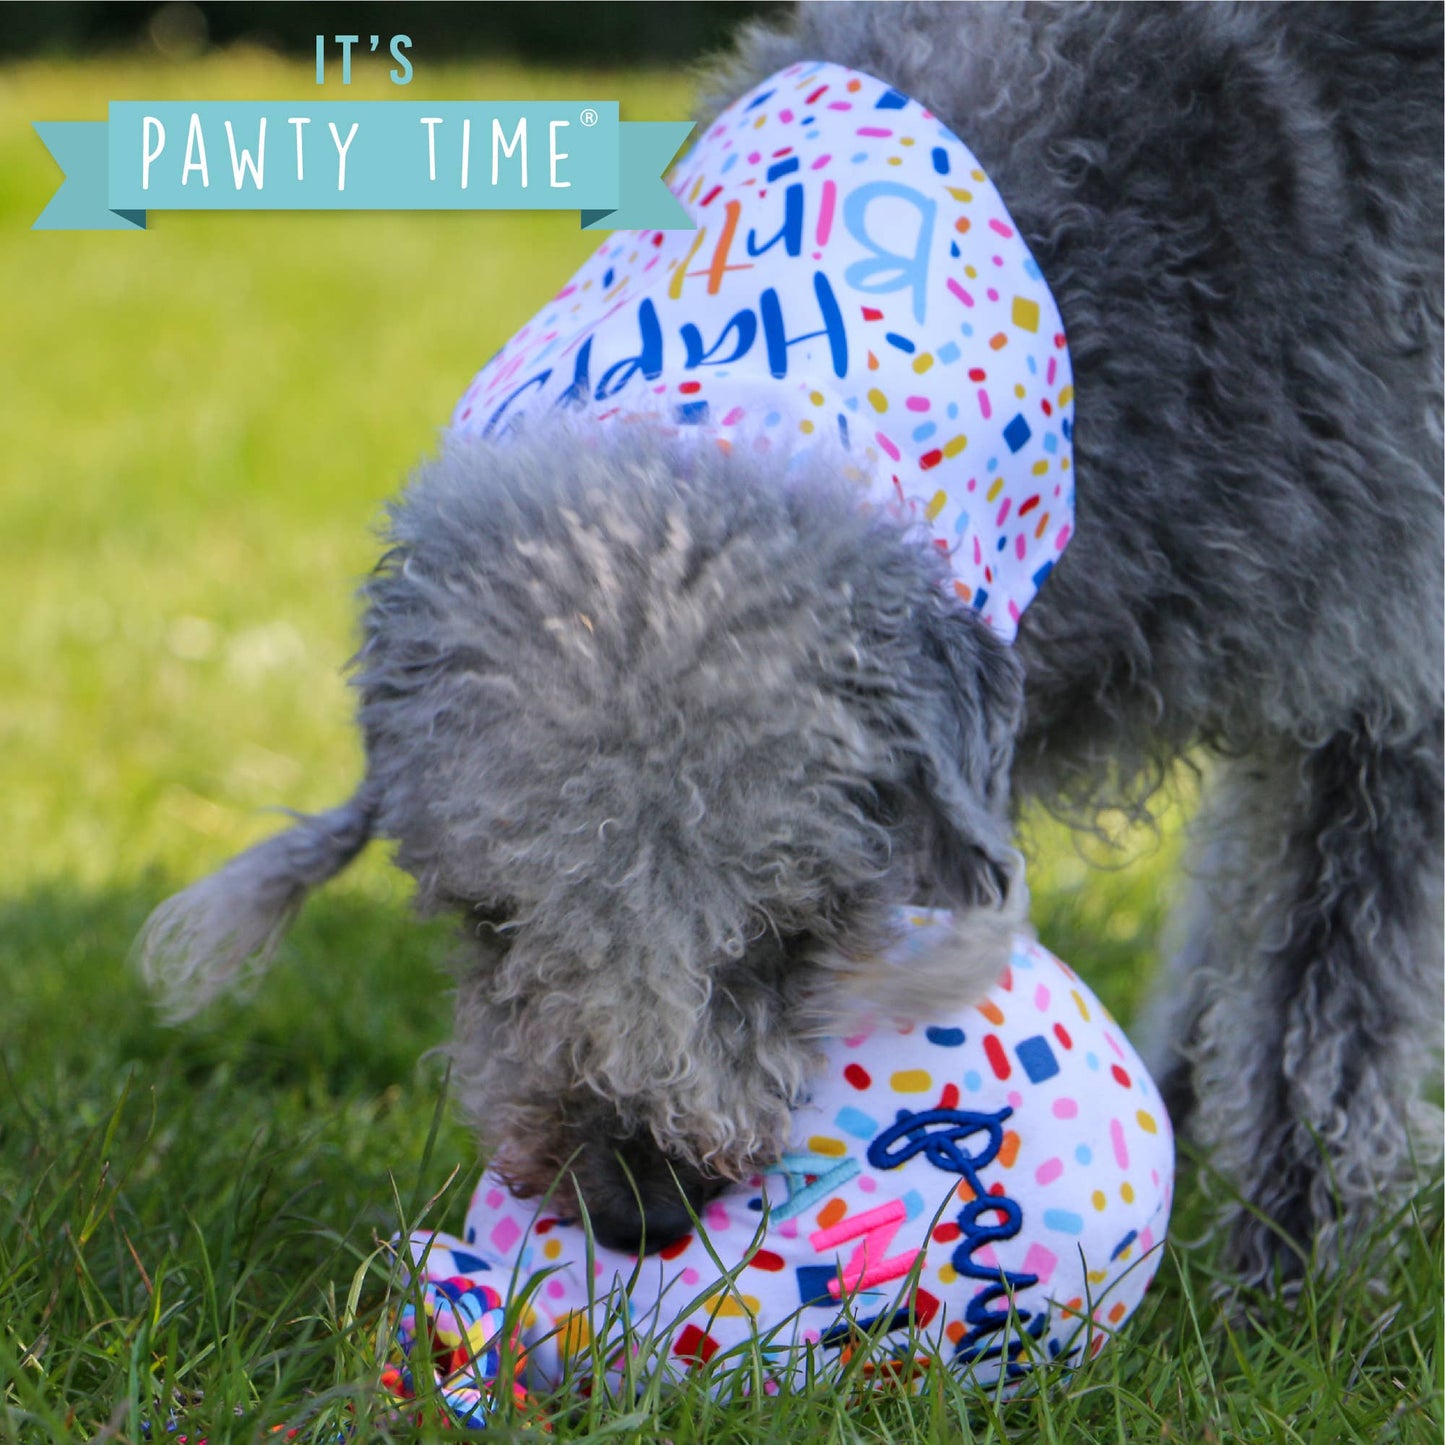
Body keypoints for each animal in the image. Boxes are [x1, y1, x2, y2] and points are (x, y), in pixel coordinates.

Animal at [132, 5, 1433, 1283]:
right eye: (485, 916)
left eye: (792, 930)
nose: (638, 1205)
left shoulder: (1380, 678)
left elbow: (1325, 1022)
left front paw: (1288, 1279)